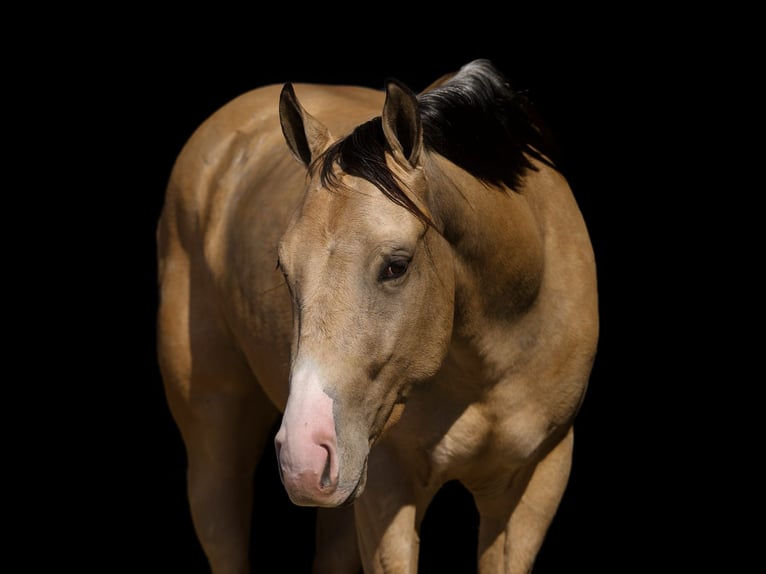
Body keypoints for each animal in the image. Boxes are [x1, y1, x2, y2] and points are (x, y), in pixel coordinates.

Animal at [156, 59, 600, 574]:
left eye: (397, 265)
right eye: (285, 270)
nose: (304, 455)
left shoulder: (533, 485)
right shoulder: (387, 488)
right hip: (217, 439)